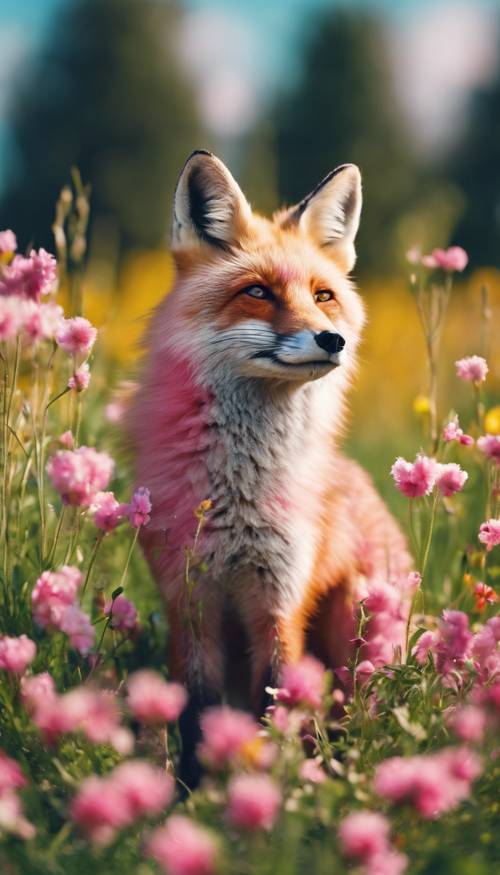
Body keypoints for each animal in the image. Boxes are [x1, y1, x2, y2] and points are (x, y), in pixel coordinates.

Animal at [128, 151, 410, 788]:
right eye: (257, 291)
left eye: (323, 296)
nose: (332, 340)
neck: (240, 493)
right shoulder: (190, 598)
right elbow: (198, 710)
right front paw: (192, 792)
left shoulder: (280, 603)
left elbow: (274, 704)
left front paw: (268, 793)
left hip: (357, 637)